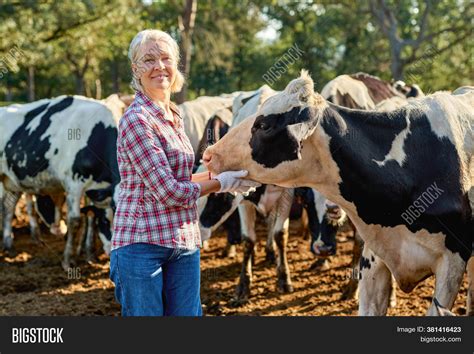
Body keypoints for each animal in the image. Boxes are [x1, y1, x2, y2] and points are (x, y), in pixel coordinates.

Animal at [0, 95, 118, 270]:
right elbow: (75, 220)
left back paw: (9, 246)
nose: (112, 252)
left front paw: (90, 254)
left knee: (8, 207)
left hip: (12, 179)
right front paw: (68, 260)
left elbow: (89, 217)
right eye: (104, 221)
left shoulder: (95, 189)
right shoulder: (73, 184)